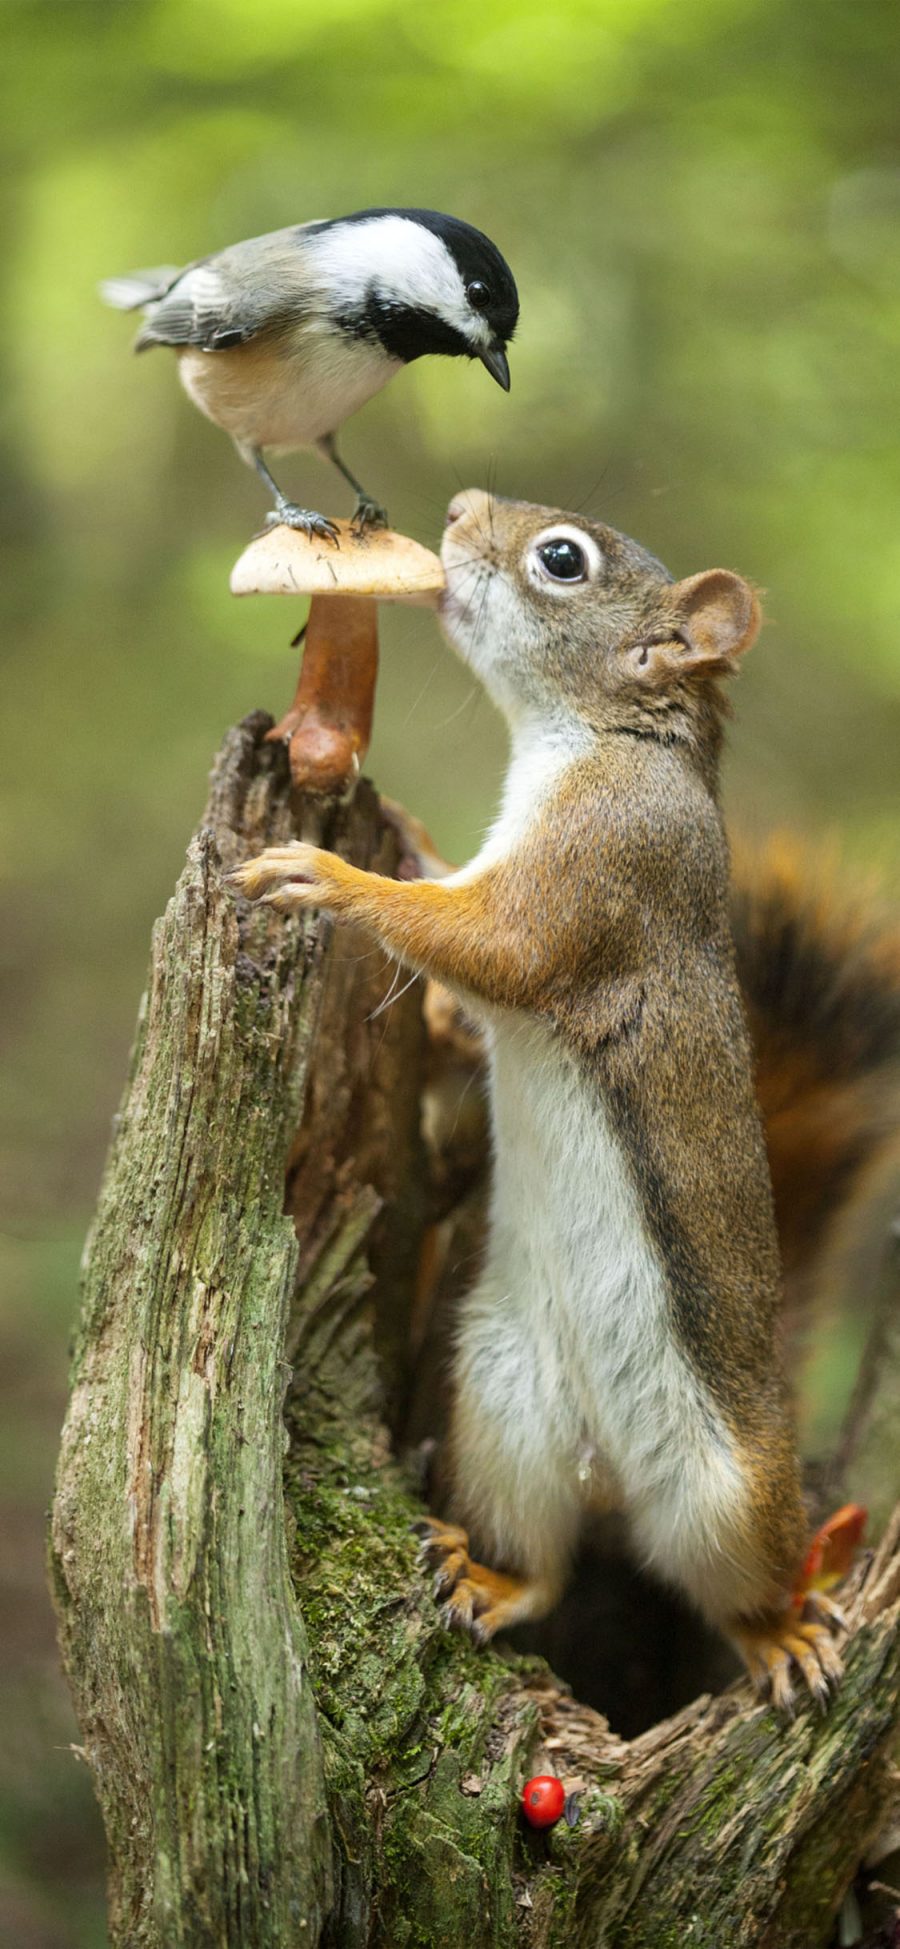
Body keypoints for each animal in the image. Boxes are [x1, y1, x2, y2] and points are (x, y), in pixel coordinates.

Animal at [226, 491, 900, 1722]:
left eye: (562, 560)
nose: (457, 511)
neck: (598, 740)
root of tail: (608, 1476)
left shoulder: (600, 872)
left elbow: (488, 944)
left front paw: (328, 877)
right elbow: (454, 933)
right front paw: (400, 838)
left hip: (730, 1489)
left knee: (740, 1587)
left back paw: (785, 1633)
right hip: (503, 1413)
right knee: (544, 1564)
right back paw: (490, 1578)